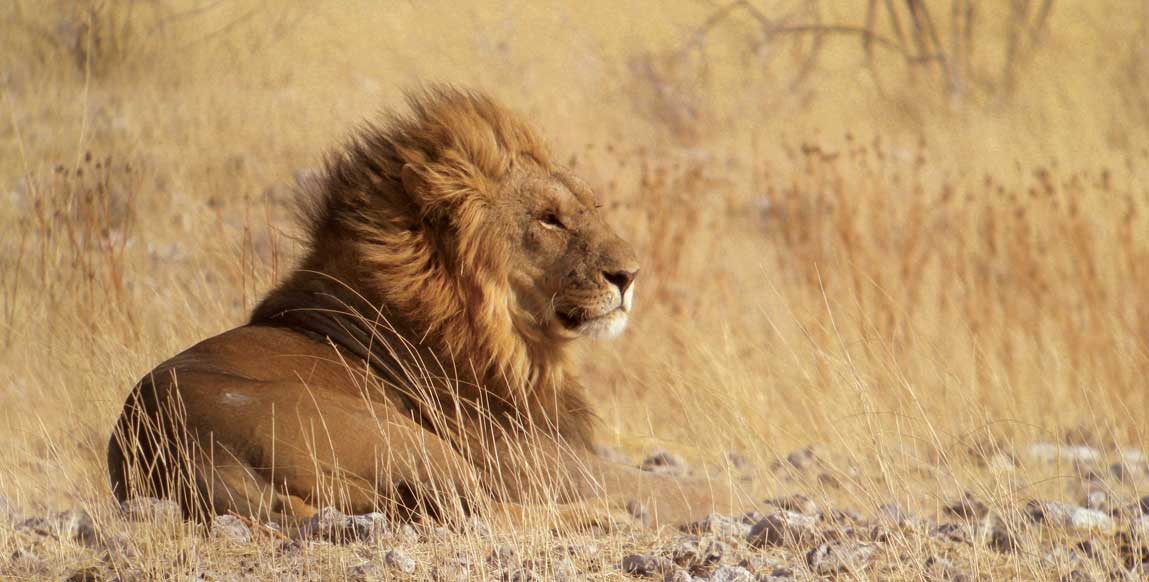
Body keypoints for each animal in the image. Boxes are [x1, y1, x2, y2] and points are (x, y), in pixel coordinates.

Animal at [108, 87, 744, 532]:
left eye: (590, 208)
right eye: (549, 219)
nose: (629, 275)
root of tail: (177, 450)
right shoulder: (541, 464)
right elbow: (694, 489)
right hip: (411, 443)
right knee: (483, 516)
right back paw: (606, 515)